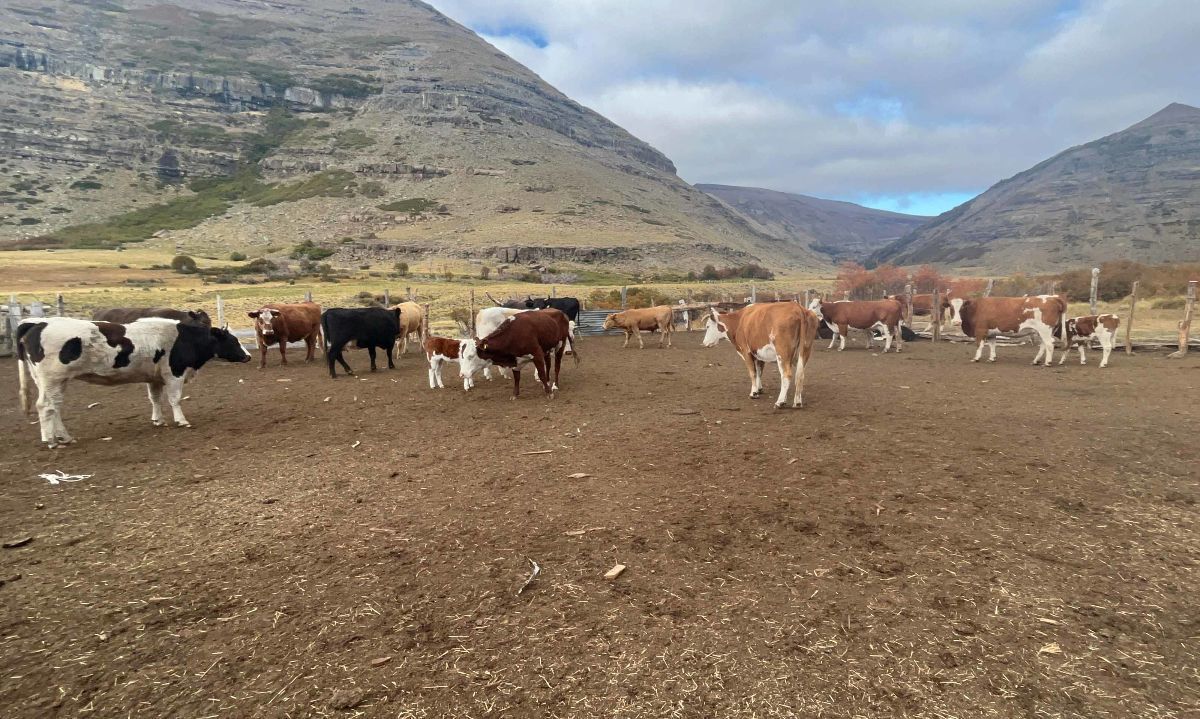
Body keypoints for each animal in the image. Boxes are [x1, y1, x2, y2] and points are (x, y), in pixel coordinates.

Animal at [17, 316, 250, 446]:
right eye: (233, 340)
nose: (248, 356)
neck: (185, 339)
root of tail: (38, 323)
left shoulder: (154, 378)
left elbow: (155, 399)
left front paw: (158, 420)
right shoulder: (173, 374)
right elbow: (175, 399)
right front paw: (181, 420)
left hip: (53, 381)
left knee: (54, 407)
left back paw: (63, 437)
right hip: (52, 380)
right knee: (45, 407)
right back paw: (50, 441)